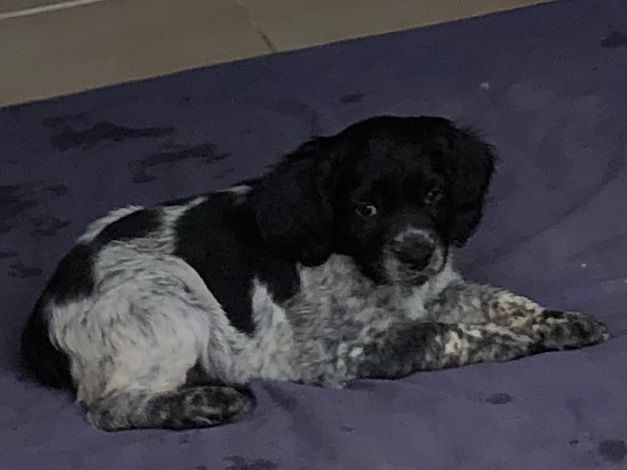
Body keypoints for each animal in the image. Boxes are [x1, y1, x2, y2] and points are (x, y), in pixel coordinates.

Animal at [20, 116, 609, 431]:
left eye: (434, 195)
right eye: (365, 209)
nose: (417, 254)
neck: (365, 270)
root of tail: (45, 311)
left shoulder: (442, 289)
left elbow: (502, 301)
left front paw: (562, 322)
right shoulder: (351, 352)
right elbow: (448, 335)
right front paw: (522, 340)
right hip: (170, 307)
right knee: (109, 407)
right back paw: (205, 402)